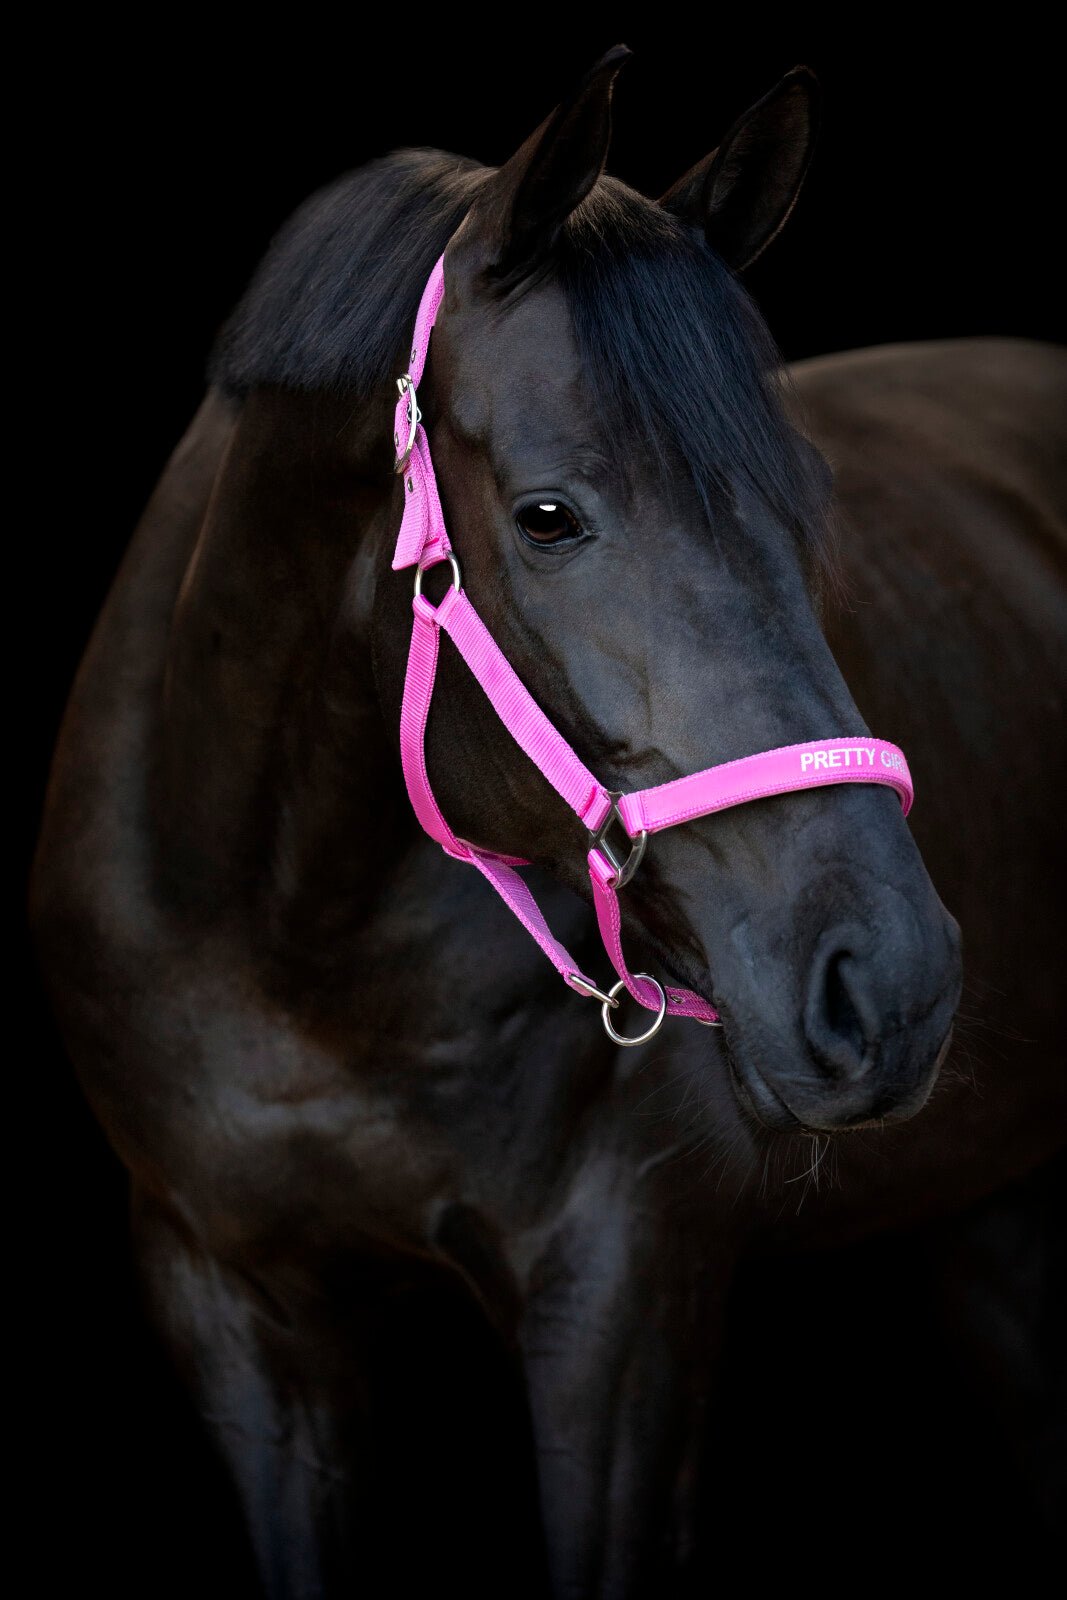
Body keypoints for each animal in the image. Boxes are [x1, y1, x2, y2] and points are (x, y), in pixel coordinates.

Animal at [31, 49, 1066, 1598]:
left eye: (807, 500)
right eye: (546, 514)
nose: (886, 984)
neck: (294, 947)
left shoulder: (622, 1305)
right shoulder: (232, 1304)